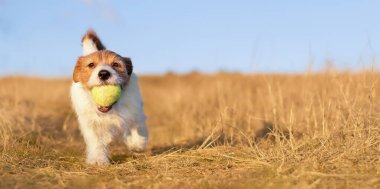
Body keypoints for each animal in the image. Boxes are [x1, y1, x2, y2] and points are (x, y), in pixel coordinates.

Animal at [70, 30, 148, 165]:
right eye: (91, 64)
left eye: (116, 64)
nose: (103, 73)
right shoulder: (91, 124)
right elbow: (96, 142)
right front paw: (98, 159)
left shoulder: (135, 112)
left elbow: (136, 127)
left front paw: (136, 143)